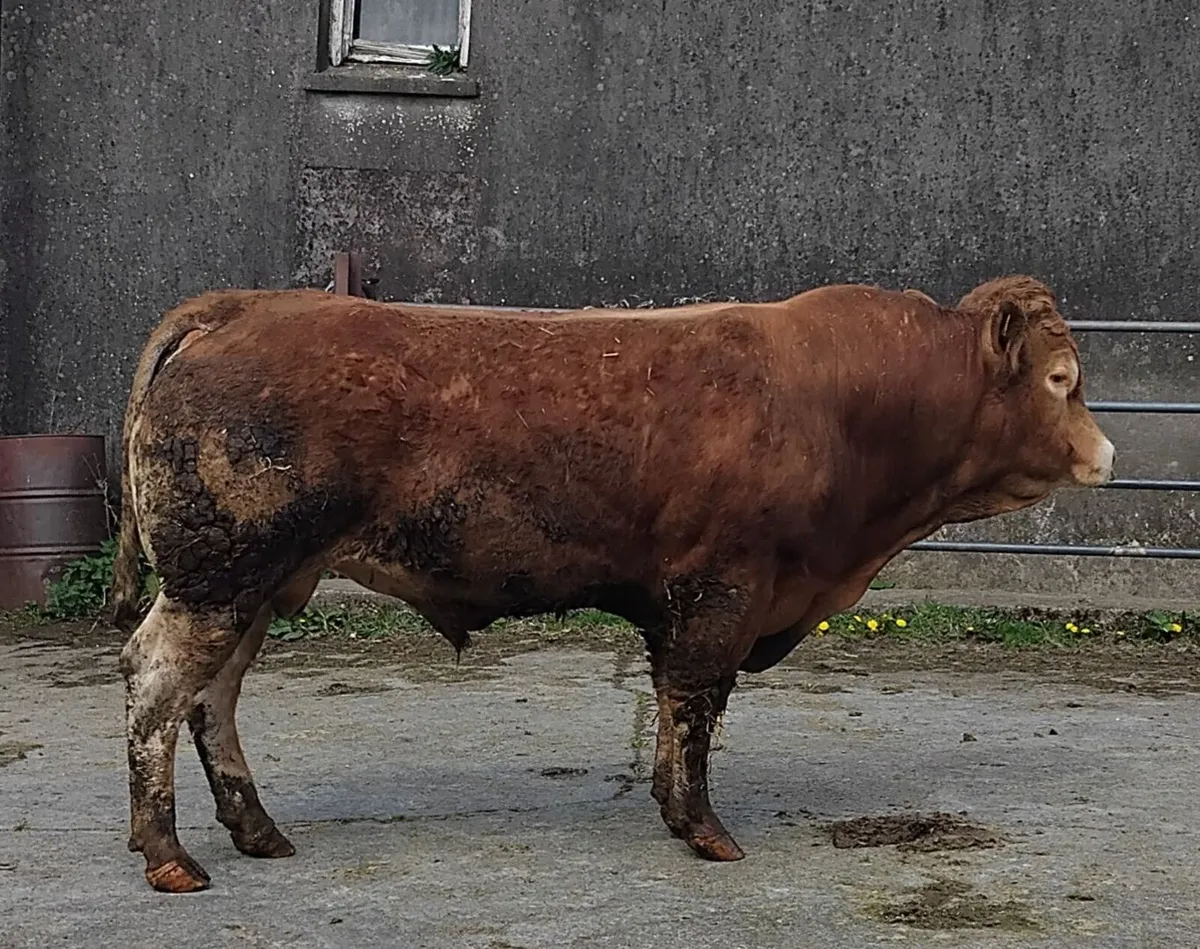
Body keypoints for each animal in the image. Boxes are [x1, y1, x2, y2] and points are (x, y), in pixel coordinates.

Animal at [110, 275, 1113, 893]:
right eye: (1061, 378)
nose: (1106, 453)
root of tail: (241, 307)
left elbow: (676, 706)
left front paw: (673, 811)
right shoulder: (722, 589)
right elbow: (696, 704)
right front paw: (706, 829)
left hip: (253, 584)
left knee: (213, 696)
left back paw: (255, 829)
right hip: (218, 578)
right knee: (157, 680)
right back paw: (170, 854)